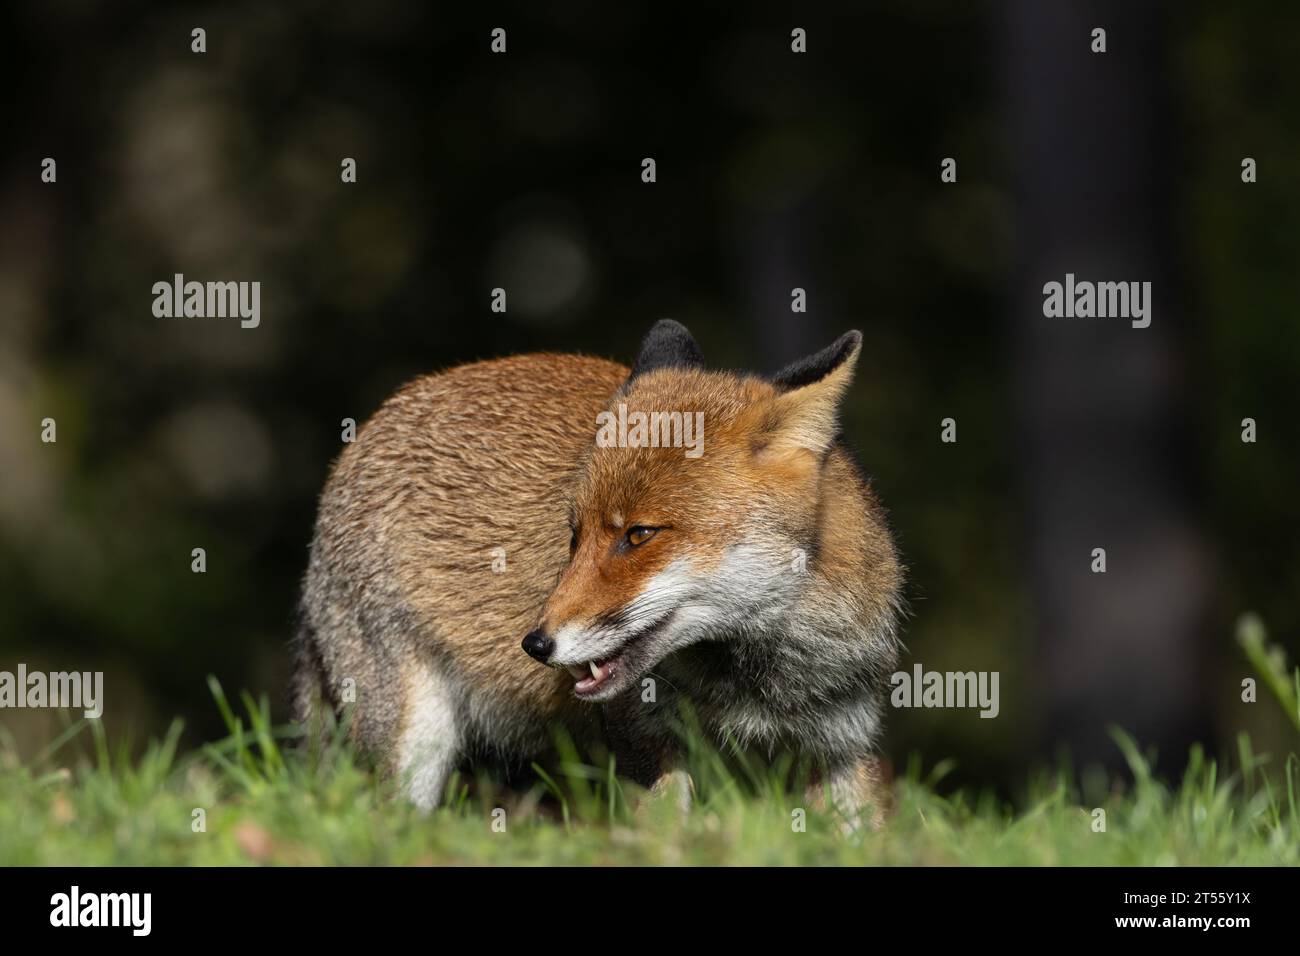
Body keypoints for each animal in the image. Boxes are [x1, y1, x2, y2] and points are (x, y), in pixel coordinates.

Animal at [293, 319, 904, 823]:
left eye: (638, 535)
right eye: (574, 536)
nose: (535, 644)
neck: (761, 681)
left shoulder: (844, 744)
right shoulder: (641, 739)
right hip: (411, 737)